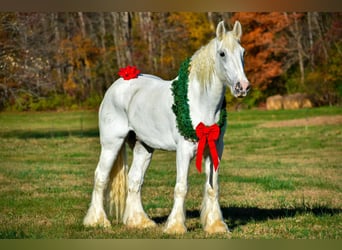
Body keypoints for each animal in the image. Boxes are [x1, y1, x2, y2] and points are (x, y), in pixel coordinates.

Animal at [83, 20, 248, 233]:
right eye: (222, 53)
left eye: (243, 52)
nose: (242, 87)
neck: (200, 102)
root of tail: (118, 84)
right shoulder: (184, 150)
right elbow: (181, 187)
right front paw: (175, 226)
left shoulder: (215, 149)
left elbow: (213, 187)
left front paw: (216, 226)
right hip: (112, 143)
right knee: (101, 177)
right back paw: (97, 221)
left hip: (143, 147)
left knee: (134, 180)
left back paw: (139, 221)